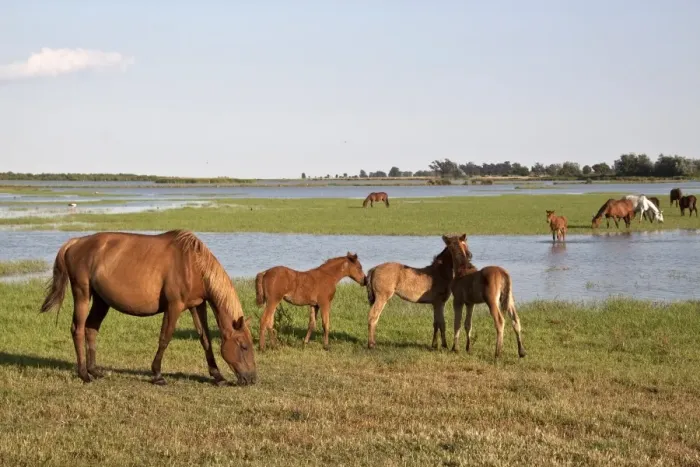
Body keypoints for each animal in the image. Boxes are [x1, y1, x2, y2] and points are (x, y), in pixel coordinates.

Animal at [39, 230, 257, 386]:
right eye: (244, 346)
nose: (252, 379)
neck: (193, 264)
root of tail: (75, 242)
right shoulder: (174, 306)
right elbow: (165, 338)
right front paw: (157, 374)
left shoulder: (197, 305)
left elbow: (205, 340)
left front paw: (217, 376)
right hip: (82, 294)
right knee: (78, 329)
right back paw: (84, 374)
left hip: (102, 301)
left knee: (91, 328)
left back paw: (94, 370)